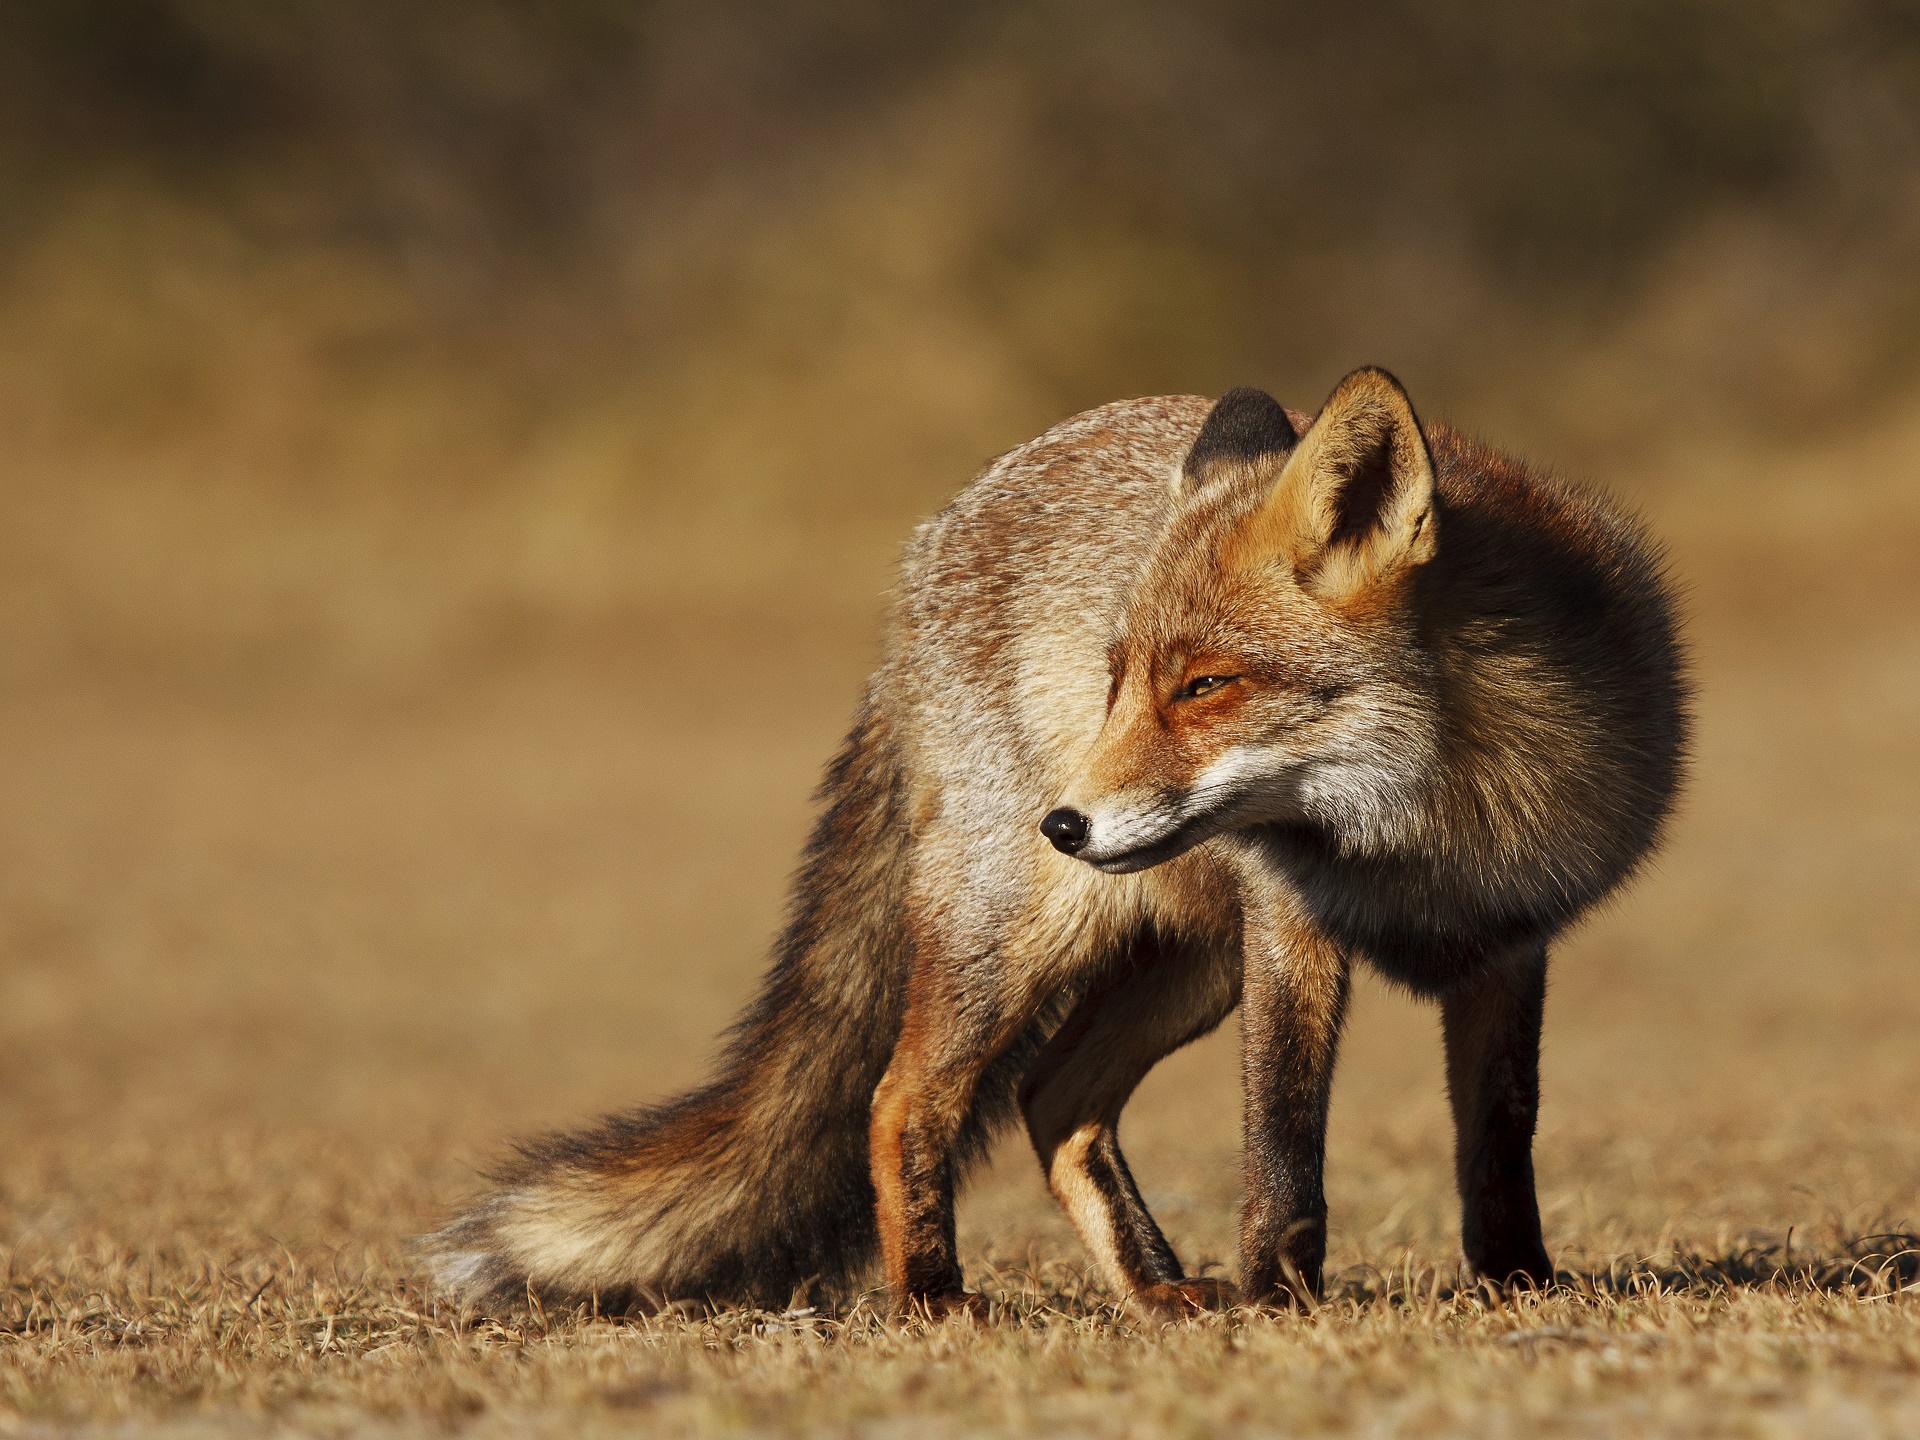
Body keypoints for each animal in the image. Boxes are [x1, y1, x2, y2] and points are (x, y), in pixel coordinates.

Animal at [428, 368, 1689, 1320]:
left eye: (1205, 686)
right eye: (1118, 679)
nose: (1066, 823)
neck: (1428, 833)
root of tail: (930, 542)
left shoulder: (1509, 939)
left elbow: (1501, 1134)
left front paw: (1518, 1286)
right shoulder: (1291, 931)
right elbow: (1282, 1141)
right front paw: (1283, 1299)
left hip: (1185, 963)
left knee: (1051, 1100)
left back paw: (1156, 1290)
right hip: (1027, 937)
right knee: (902, 1099)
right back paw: (934, 1300)